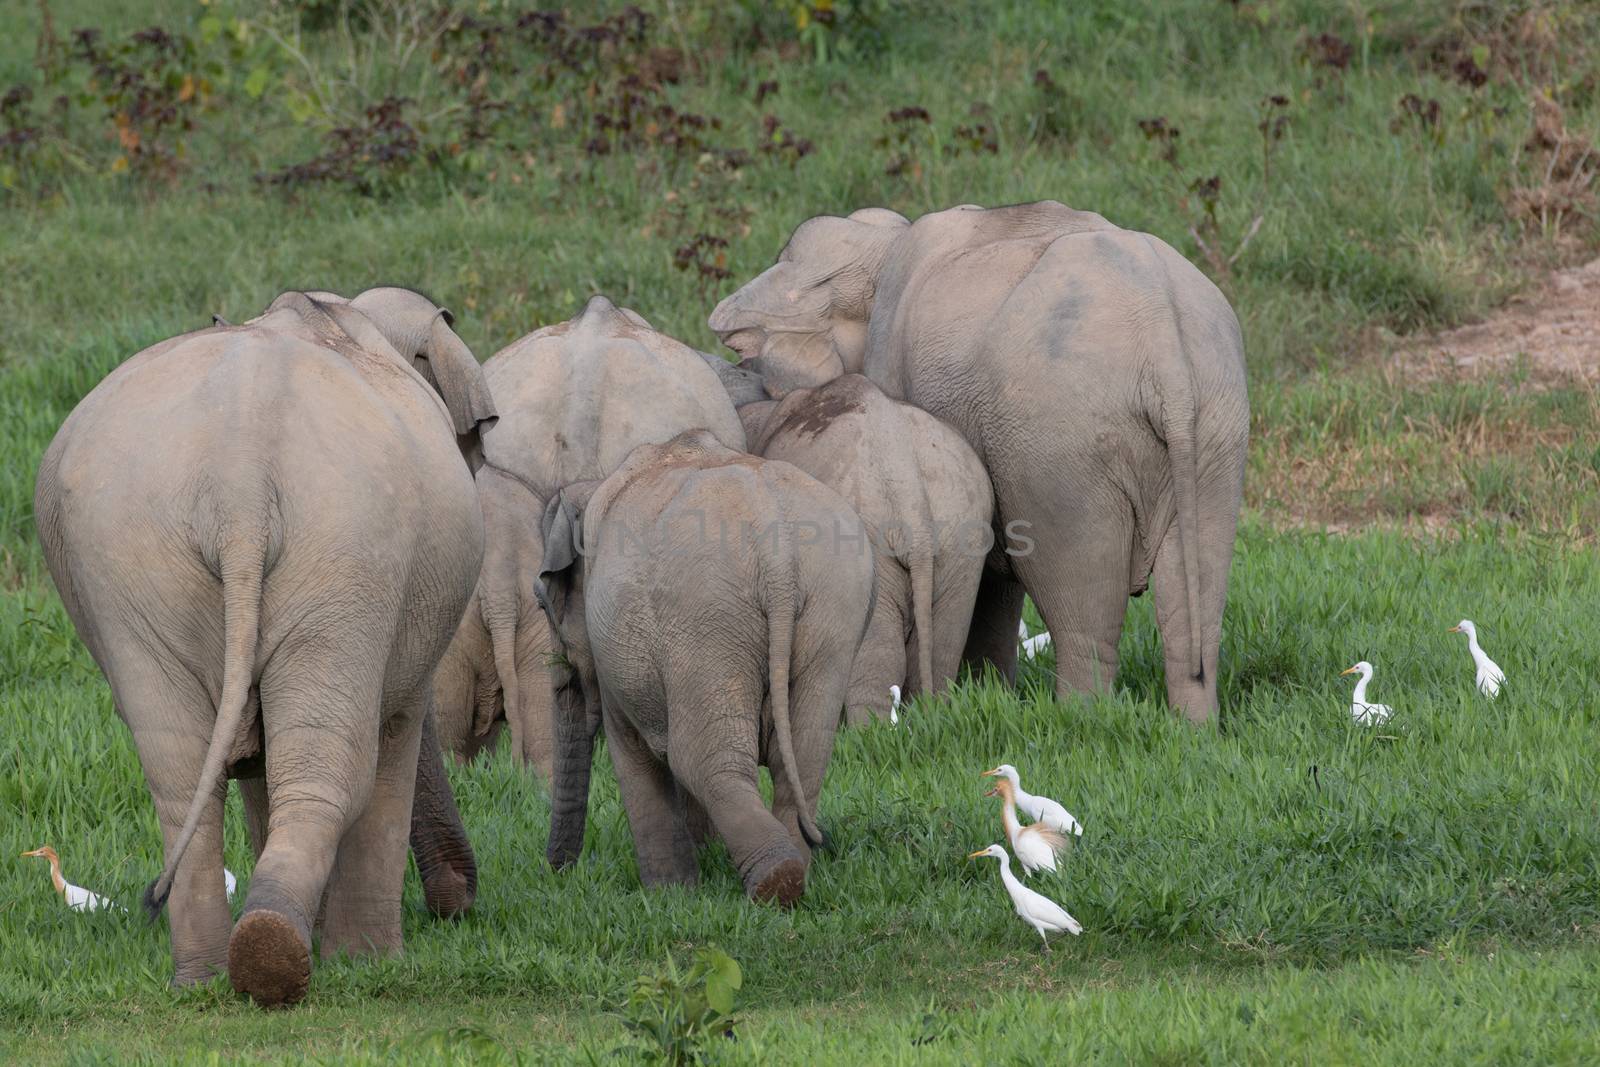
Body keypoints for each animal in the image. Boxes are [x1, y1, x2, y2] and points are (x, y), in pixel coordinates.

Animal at [34, 287, 496, 1004]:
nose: (457, 906)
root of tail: (240, 480)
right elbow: (395, 734)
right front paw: (371, 962)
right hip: (346, 550)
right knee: (329, 768)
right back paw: (277, 954)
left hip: (136, 564)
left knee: (180, 770)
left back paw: (212, 972)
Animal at [534, 428, 876, 908]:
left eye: (542, 603)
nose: (557, 872)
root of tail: (779, 560)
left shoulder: (612, 650)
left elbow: (632, 752)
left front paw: (668, 896)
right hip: (834, 609)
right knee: (804, 755)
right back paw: (794, 874)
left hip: (705, 621)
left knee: (700, 760)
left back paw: (774, 881)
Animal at [745, 371, 992, 723]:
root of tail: (908, 488)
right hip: (964, 534)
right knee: (943, 648)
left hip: (876, 546)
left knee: (878, 658)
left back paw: (868, 731)